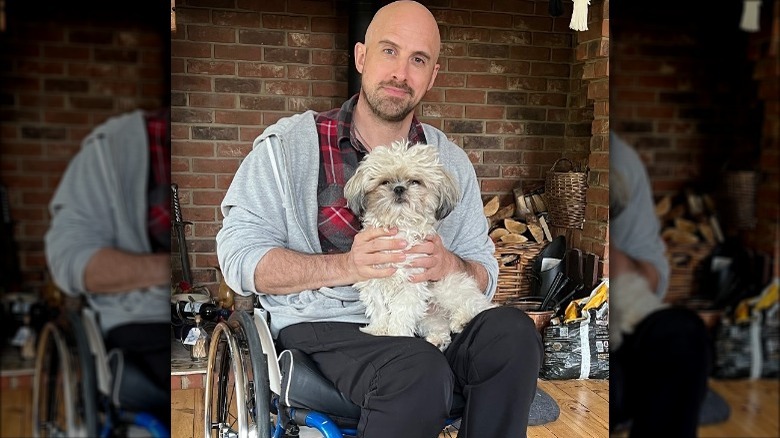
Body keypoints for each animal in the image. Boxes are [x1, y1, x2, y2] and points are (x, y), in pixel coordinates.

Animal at [342, 139, 494, 350]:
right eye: (385, 182)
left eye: (415, 181)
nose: (399, 188)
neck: (399, 225)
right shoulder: (372, 278)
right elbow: (379, 308)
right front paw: (379, 329)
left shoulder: (412, 282)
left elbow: (401, 312)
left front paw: (396, 333)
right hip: (429, 317)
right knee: (441, 326)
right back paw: (438, 339)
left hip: (448, 286)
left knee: (479, 305)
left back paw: (462, 319)